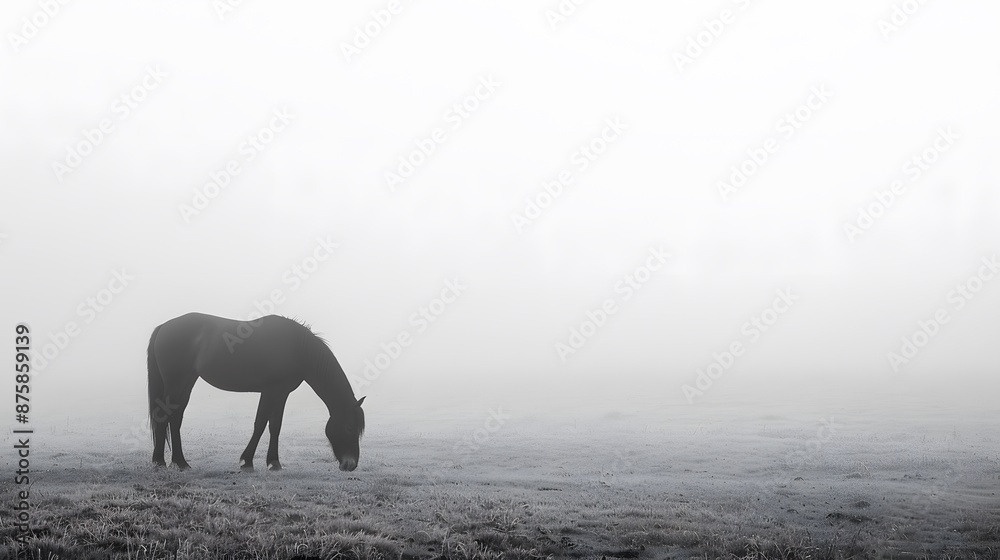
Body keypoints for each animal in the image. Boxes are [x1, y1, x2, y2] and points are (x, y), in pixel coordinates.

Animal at [146, 312, 365, 472]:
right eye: (349, 428)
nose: (351, 464)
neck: (296, 348)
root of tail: (164, 327)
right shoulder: (270, 392)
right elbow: (260, 424)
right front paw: (247, 461)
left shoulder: (282, 393)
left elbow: (275, 426)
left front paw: (274, 463)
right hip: (175, 382)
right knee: (165, 415)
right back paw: (161, 461)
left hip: (187, 382)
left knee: (176, 418)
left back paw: (179, 462)